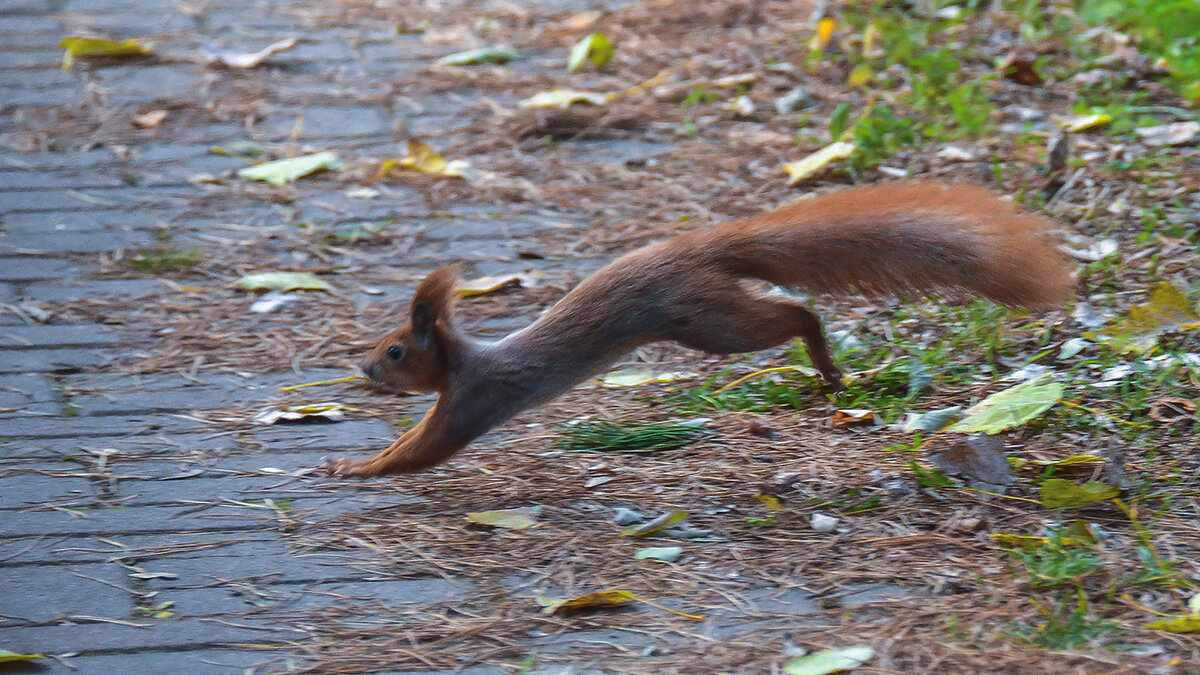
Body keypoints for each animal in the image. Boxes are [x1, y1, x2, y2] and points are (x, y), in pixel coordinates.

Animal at [326, 181, 1070, 475]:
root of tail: (701, 248)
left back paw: (826, 364)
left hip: (708, 319)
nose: (363, 369)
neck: (462, 361)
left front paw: (356, 466)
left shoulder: (473, 400)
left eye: (395, 350)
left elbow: (421, 451)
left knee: (795, 313)